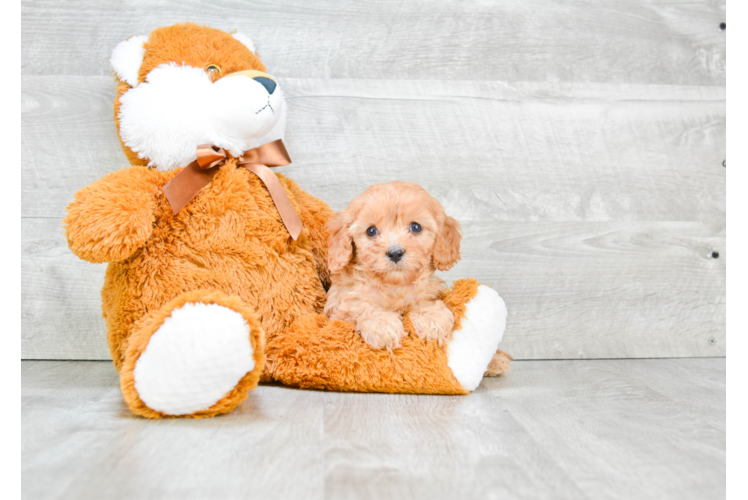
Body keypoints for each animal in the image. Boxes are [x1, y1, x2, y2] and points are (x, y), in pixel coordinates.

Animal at [326, 182, 462, 350]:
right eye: (371, 231)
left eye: (416, 227)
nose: (395, 253)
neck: (395, 286)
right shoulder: (341, 305)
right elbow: (362, 307)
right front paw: (383, 325)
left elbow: (423, 301)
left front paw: (433, 317)